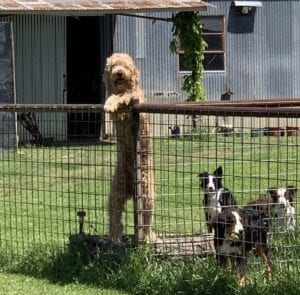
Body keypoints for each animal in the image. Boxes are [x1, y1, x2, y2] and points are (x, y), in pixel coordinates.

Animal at [103, 53, 155, 243]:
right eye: (113, 66)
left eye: (125, 66)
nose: (119, 73)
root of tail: (133, 189)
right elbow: (115, 99)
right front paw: (110, 102)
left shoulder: (136, 101)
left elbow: (125, 95)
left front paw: (112, 102)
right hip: (117, 190)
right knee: (115, 214)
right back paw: (115, 236)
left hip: (146, 192)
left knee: (146, 217)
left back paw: (147, 236)